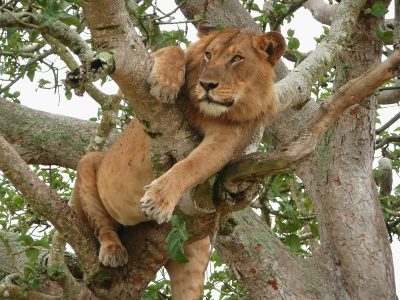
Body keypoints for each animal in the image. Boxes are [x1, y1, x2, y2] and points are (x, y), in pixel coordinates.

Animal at [72, 21, 284, 300]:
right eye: (209, 55)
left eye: (237, 59)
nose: (207, 85)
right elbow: (174, 50)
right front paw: (165, 84)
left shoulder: (226, 140)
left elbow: (190, 166)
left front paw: (158, 200)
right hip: (88, 163)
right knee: (102, 225)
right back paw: (113, 251)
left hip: (194, 255)